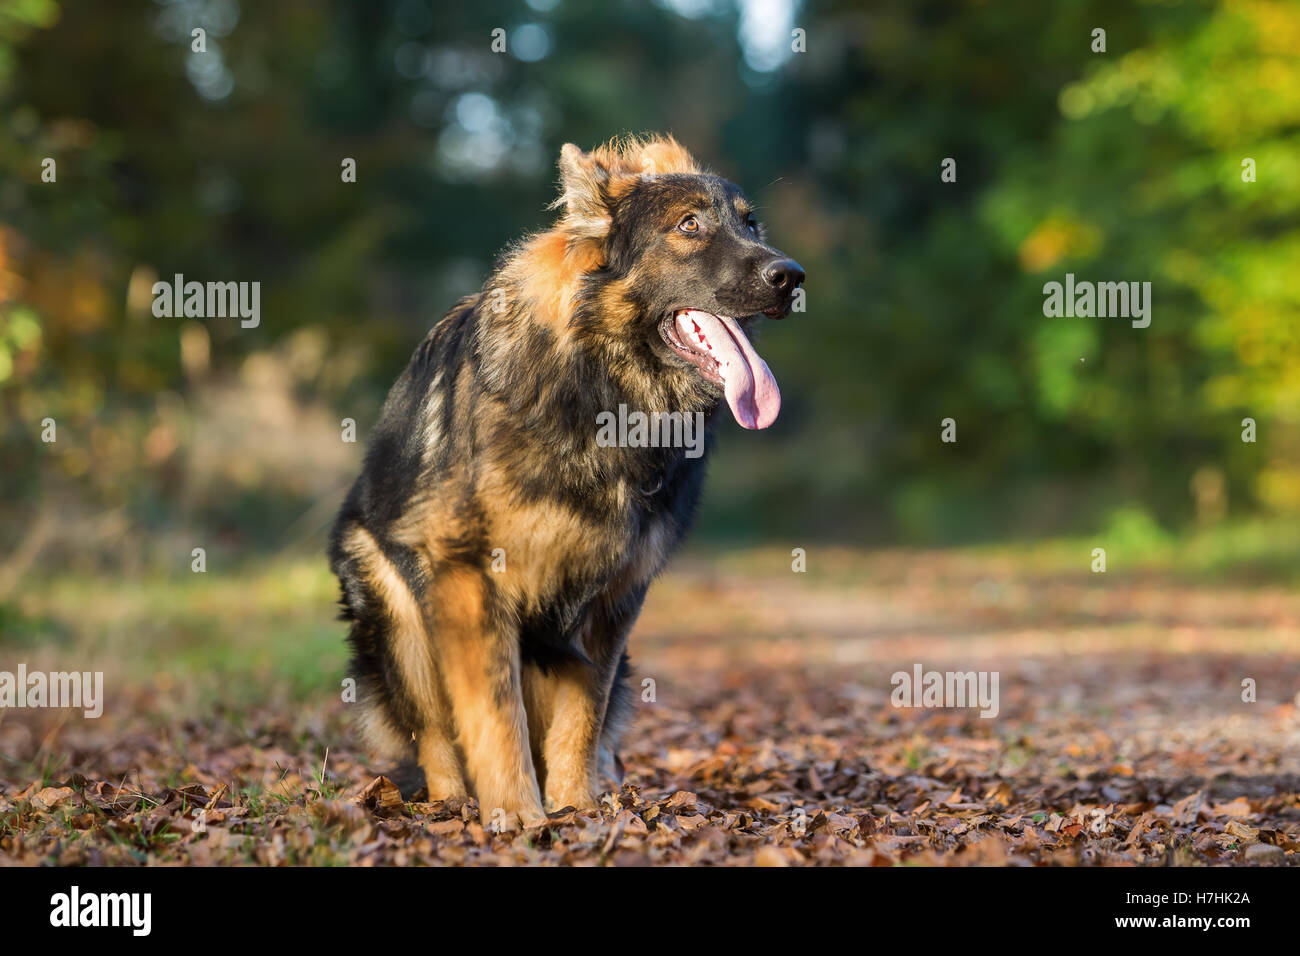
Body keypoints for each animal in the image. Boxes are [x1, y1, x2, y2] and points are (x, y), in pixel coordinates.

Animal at [327, 134, 800, 832]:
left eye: (750, 224)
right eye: (689, 226)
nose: (791, 277)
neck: (602, 391)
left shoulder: (613, 597)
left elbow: (583, 714)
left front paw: (576, 805)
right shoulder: (469, 579)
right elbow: (495, 713)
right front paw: (517, 813)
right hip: (399, 614)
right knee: (435, 737)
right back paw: (453, 805)